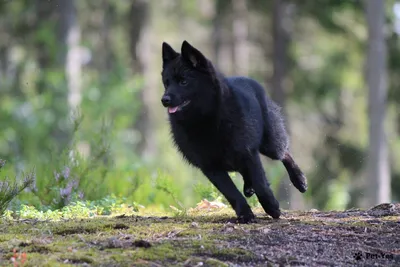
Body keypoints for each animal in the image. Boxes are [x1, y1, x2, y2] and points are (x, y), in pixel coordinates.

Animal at [159, 40, 306, 223]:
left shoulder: (248, 153)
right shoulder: (210, 167)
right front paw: (245, 214)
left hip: (271, 145)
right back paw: (249, 187)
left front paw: (272, 207)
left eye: (183, 82)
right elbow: (231, 193)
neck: (206, 120)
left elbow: (261, 184)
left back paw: (299, 180)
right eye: (166, 83)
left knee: (285, 154)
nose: (164, 99)